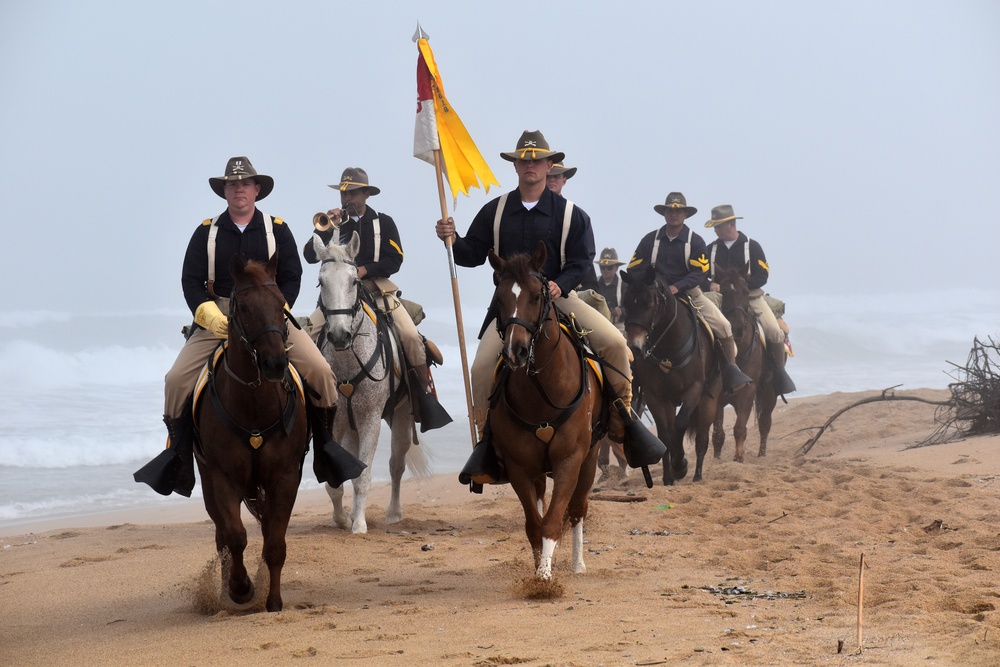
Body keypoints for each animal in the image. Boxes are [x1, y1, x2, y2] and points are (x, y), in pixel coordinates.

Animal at [192, 253, 308, 612]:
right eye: (243, 307)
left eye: (280, 303)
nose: (275, 364)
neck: (254, 404)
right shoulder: (223, 477)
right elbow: (235, 535)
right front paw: (240, 587)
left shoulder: (285, 477)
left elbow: (275, 542)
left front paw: (274, 601)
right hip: (208, 481)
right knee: (221, 535)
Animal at [312, 232, 430, 536]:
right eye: (321, 282)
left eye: (354, 281)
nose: (339, 335)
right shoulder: (335, 422)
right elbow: (338, 479)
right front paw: (343, 519)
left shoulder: (371, 419)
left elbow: (364, 474)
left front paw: (359, 525)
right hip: (352, 428)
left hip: (401, 417)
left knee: (396, 465)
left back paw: (393, 513)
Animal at [490, 244, 604, 580]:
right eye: (499, 298)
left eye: (535, 297)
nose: (515, 351)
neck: (543, 390)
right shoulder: (519, 466)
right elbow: (534, 524)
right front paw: (539, 568)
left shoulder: (570, 460)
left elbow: (553, 521)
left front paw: (543, 578)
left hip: (590, 460)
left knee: (578, 509)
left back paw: (578, 564)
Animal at [616, 266, 720, 486]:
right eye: (627, 302)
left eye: (648, 302)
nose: (634, 346)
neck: (668, 350)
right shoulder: (656, 396)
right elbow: (665, 434)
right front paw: (668, 476)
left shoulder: (694, 390)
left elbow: (681, 425)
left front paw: (680, 466)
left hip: (708, 400)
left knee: (701, 438)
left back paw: (697, 476)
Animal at [712, 264, 780, 462]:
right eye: (723, 291)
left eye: (745, 291)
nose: (738, 328)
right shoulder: (717, 395)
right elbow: (718, 433)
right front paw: (717, 459)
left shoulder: (748, 391)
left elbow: (740, 427)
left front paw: (739, 458)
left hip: (769, 392)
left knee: (765, 422)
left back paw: (762, 455)